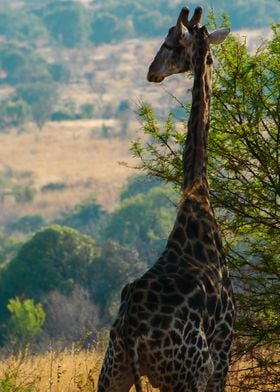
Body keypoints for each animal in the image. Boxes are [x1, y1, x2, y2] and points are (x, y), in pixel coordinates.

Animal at [97, 6, 235, 392]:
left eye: (172, 43)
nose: (152, 72)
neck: (197, 193)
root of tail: (131, 332)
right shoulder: (224, 344)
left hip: (113, 371)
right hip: (188, 373)